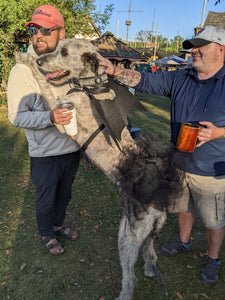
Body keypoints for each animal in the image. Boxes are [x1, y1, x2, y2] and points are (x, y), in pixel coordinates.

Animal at [35, 38, 183, 298]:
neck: (90, 86)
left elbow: (46, 87)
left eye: (64, 52)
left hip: (127, 237)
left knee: (130, 276)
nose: (39, 60)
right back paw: (149, 270)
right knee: (151, 254)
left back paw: (124, 293)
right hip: (147, 236)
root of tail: (158, 208)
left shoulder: (66, 115)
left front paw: (23, 58)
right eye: (58, 47)